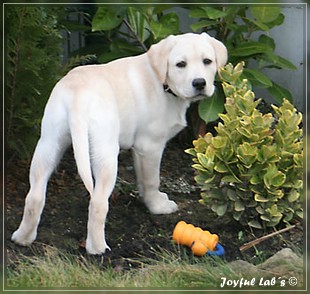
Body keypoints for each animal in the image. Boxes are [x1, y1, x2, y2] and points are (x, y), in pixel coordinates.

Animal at [11, 32, 228, 255]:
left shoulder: (139, 150)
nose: (200, 83)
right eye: (180, 64)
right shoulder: (150, 146)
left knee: (34, 196)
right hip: (105, 152)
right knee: (98, 202)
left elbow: (142, 180)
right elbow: (152, 180)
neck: (161, 81)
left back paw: (22, 238)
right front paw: (157, 206)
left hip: (49, 142)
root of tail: (78, 96)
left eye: (207, 61)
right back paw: (98, 248)